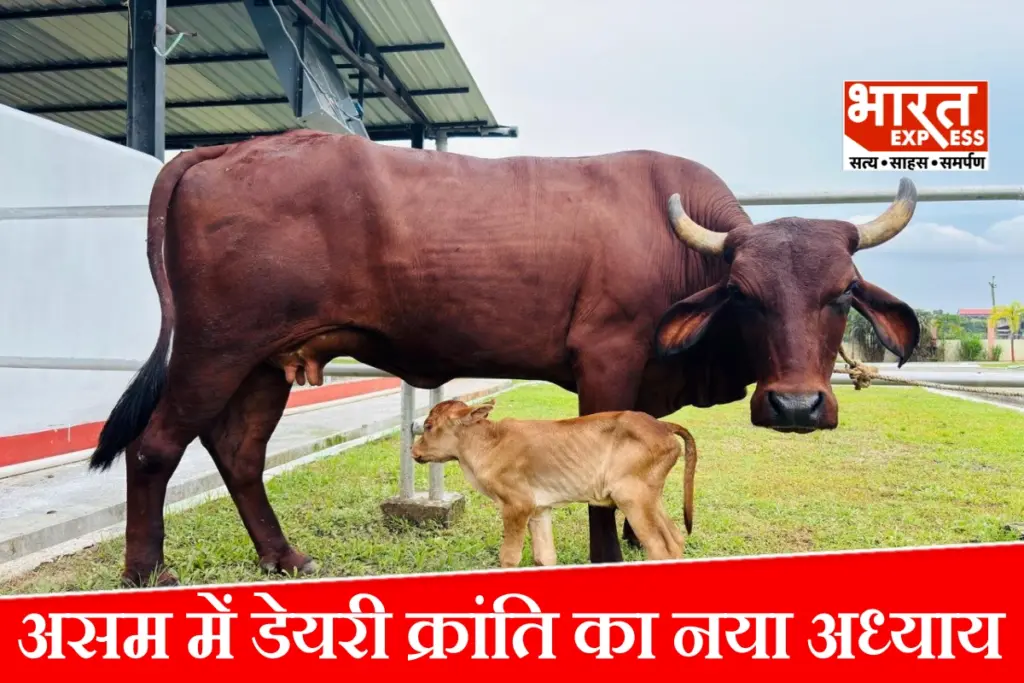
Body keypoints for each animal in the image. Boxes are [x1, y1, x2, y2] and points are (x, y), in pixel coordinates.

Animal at [411, 399, 699, 567]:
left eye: (428, 425)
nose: (414, 451)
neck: (489, 442)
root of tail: (662, 425)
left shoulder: (517, 506)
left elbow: (509, 557)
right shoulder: (539, 509)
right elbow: (545, 556)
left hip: (632, 497)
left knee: (660, 547)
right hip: (651, 497)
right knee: (675, 540)